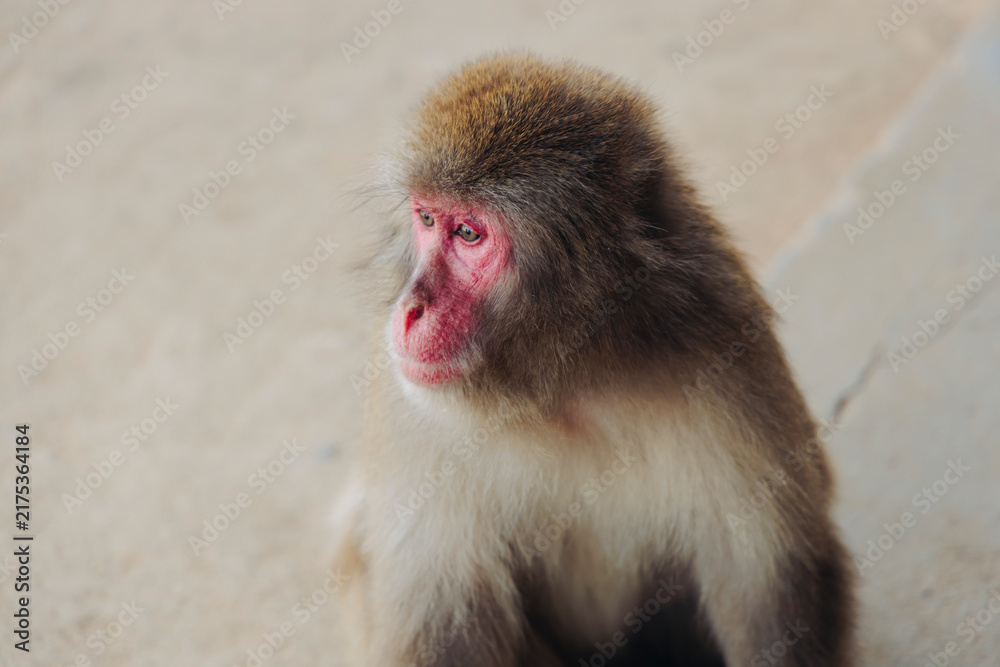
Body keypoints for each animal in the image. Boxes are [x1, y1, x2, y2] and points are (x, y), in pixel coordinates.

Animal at [332, 52, 855, 666]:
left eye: (468, 233)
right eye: (427, 220)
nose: (410, 308)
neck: (564, 385)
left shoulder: (726, 353)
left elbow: (769, 586)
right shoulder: (410, 412)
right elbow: (443, 624)